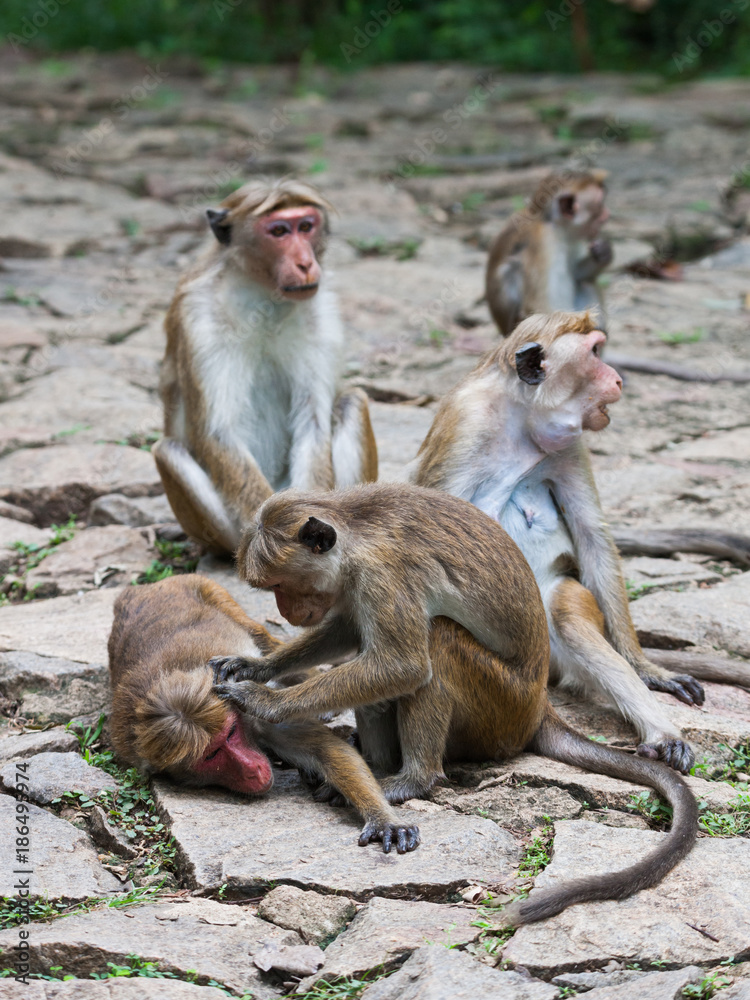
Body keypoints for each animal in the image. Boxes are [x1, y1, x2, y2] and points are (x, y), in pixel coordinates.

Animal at [107, 574, 419, 854]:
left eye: (231, 734)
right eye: (211, 755)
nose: (252, 769)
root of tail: (143, 587)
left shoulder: (254, 715)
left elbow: (326, 749)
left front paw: (383, 820)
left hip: (208, 588)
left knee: (262, 638)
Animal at [152, 178, 378, 556]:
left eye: (306, 226)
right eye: (279, 231)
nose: (305, 263)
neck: (264, 295)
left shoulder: (322, 313)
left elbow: (313, 422)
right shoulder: (198, 315)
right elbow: (218, 431)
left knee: (351, 401)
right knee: (168, 450)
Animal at [209, 481, 698, 928]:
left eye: (279, 584)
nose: (286, 612)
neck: (356, 531)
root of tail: (539, 705)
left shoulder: (384, 573)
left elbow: (402, 665)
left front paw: (265, 700)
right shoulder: (354, 582)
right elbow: (348, 629)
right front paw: (255, 666)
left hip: (500, 709)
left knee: (437, 637)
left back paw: (412, 780)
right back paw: (371, 764)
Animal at [412, 309, 750, 773]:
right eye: (594, 353)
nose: (619, 378)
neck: (521, 418)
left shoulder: (569, 445)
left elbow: (592, 535)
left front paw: (648, 669)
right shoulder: (465, 425)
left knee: (567, 611)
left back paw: (661, 732)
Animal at [486, 170, 612, 337]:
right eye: (599, 204)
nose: (607, 215)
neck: (553, 223)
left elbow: (577, 273)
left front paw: (603, 253)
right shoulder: (543, 244)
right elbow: (540, 307)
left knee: (586, 283)